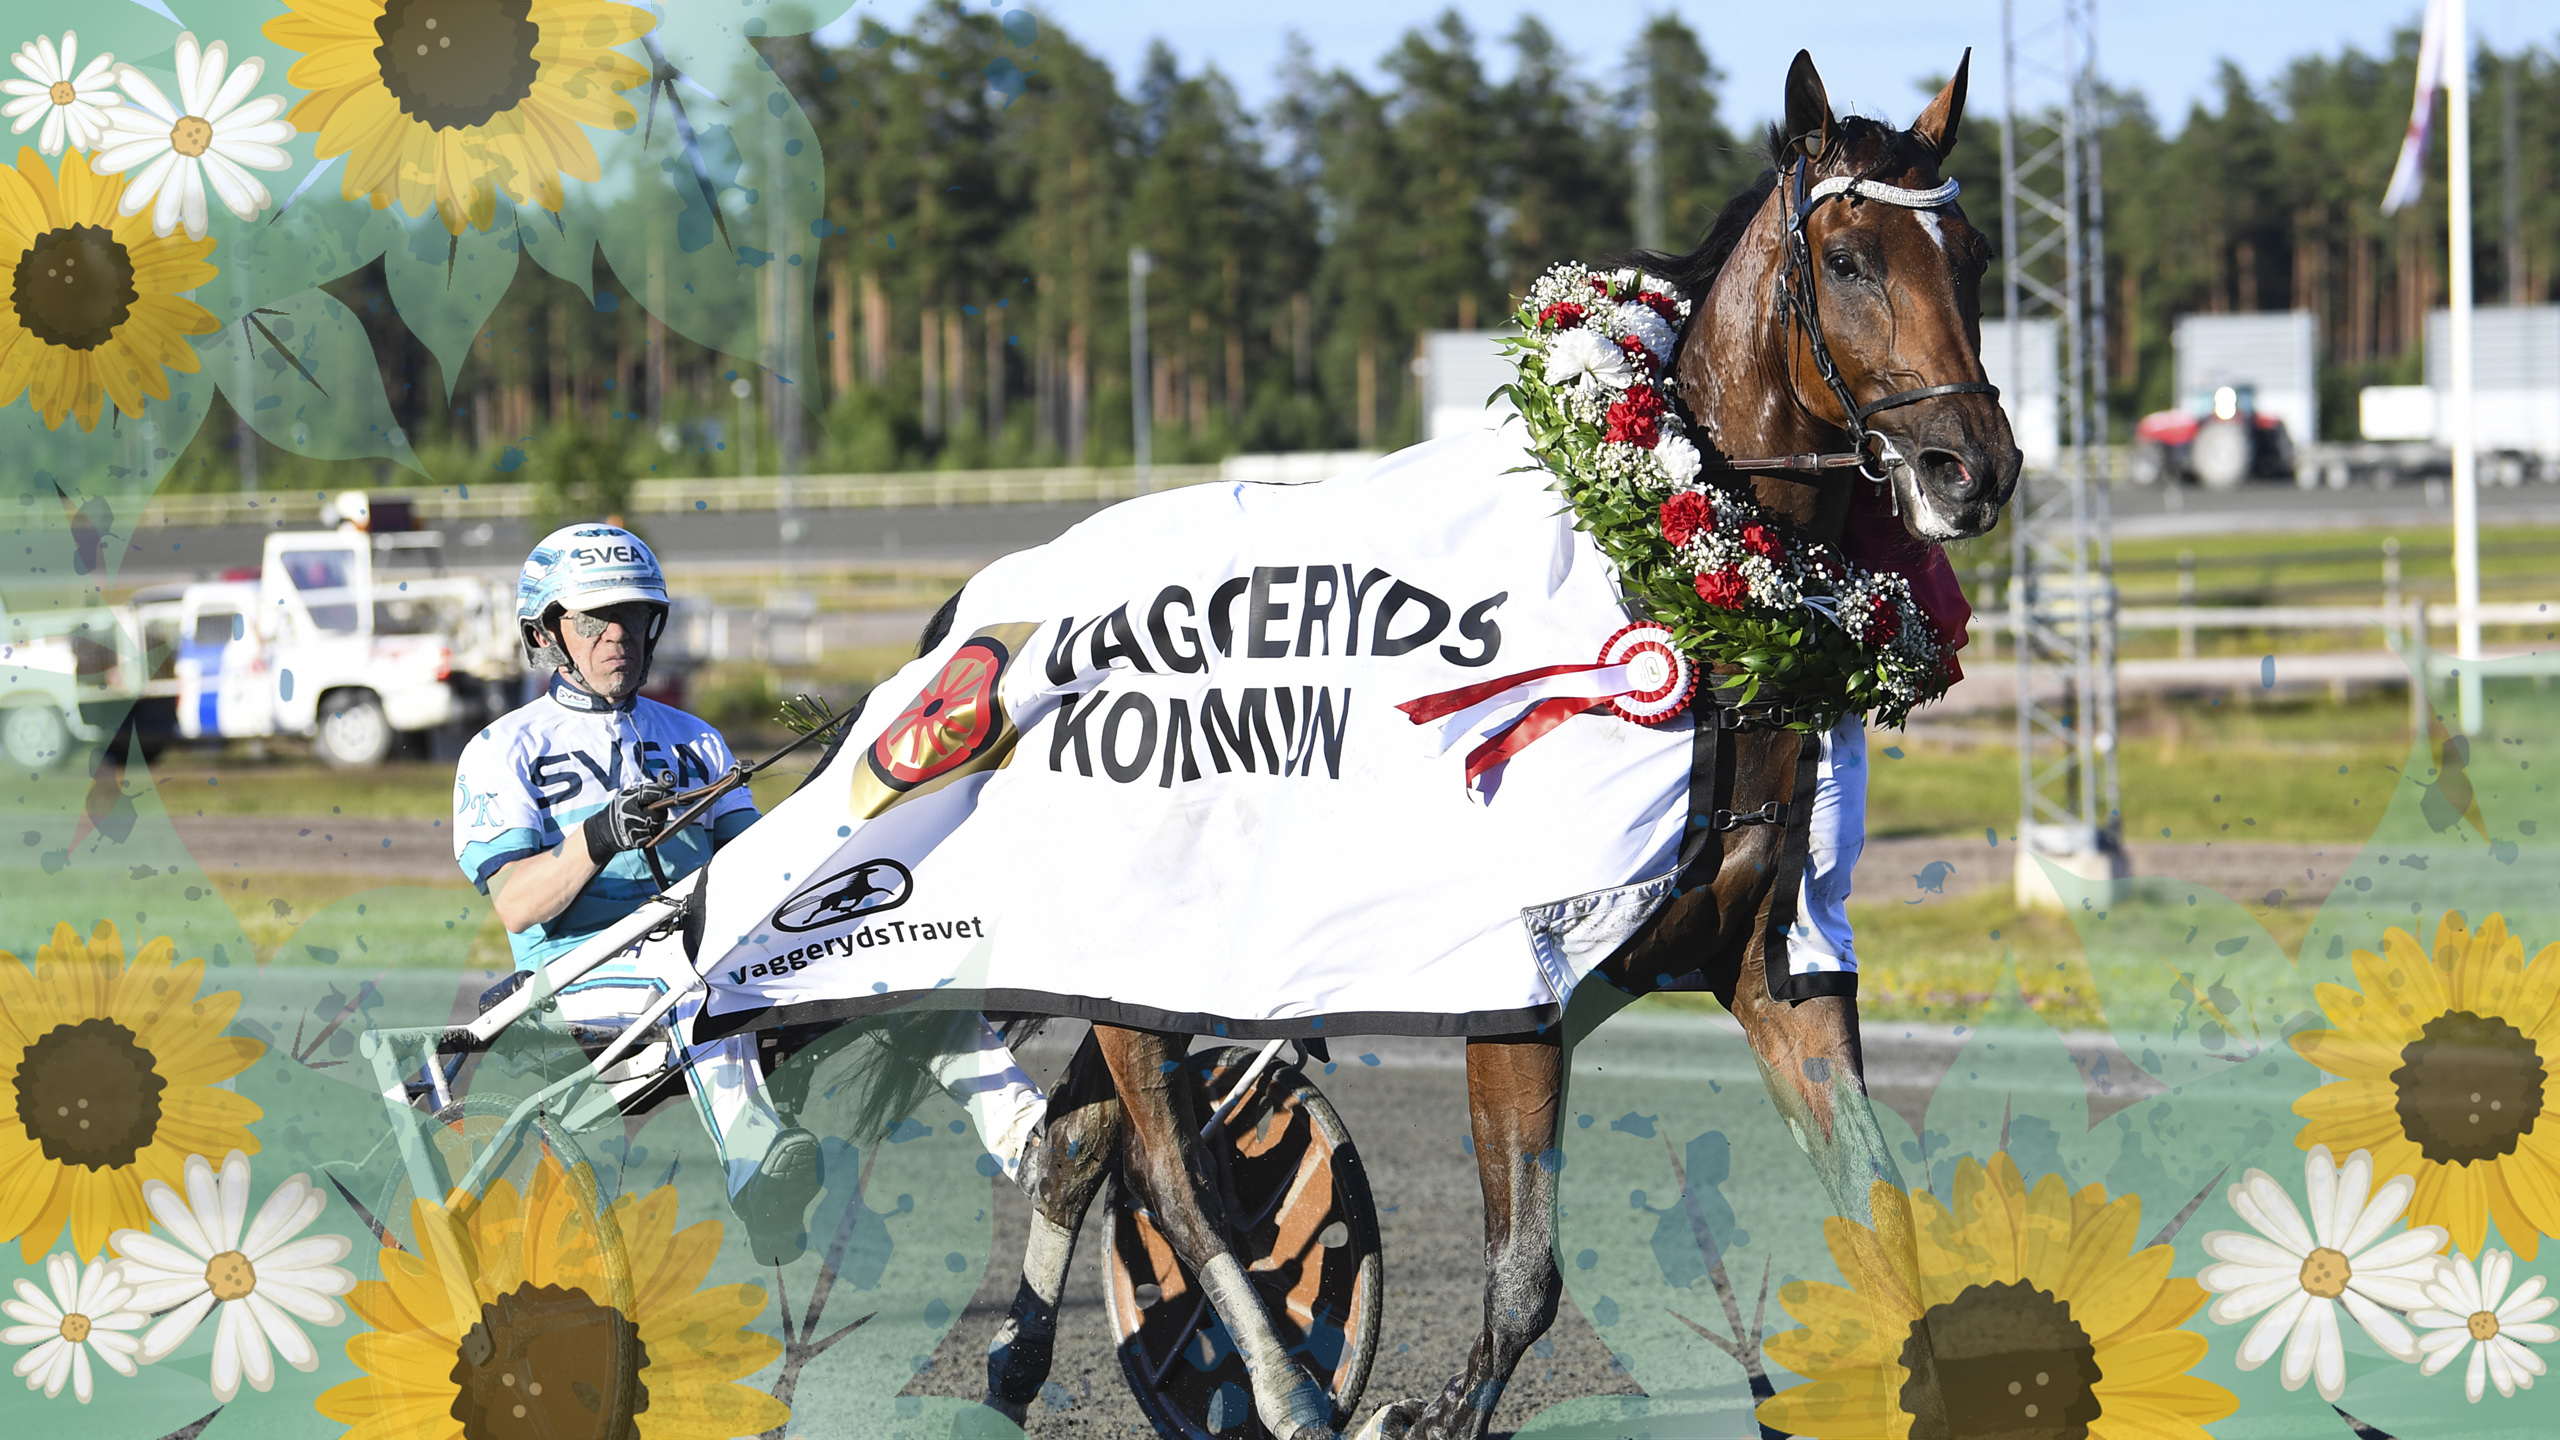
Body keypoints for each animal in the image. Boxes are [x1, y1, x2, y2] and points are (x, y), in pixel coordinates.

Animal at [967, 49, 2020, 1440]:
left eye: (1975, 256)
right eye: (1847, 259)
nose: (1972, 468)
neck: (1702, 610)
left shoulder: (1782, 967)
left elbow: (1881, 1220)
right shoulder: (1516, 984)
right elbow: (1524, 1274)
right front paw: (1418, 1408)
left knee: (1079, 1139)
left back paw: (1020, 1362)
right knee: (1172, 1175)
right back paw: (1282, 1389)